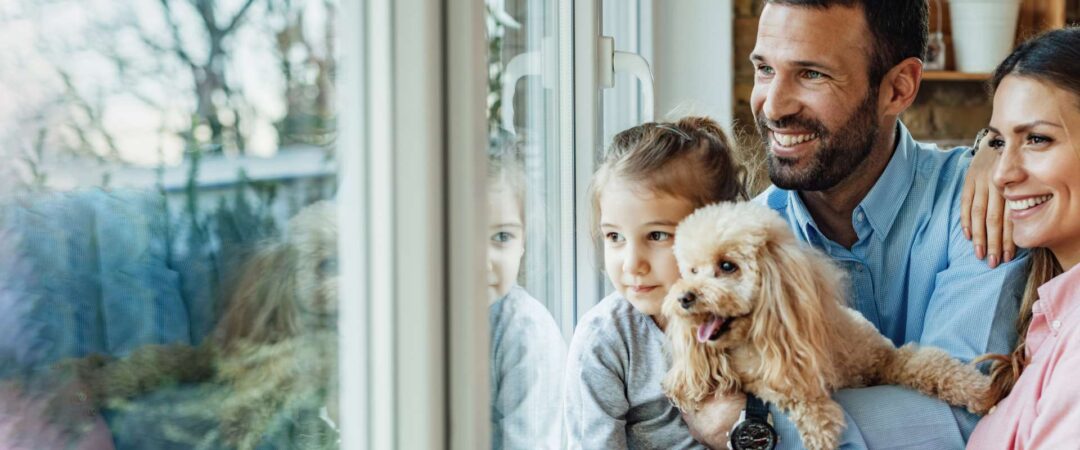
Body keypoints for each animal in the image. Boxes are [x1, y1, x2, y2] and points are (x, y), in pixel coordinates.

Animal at [660, 201, 989, 446]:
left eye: (727, 266)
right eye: (691, 271)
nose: (684, 298)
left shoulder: (884, 358)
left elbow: (928, 363)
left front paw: (978, 390)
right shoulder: (760, 378)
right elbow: (787, 392)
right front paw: (819, 425)